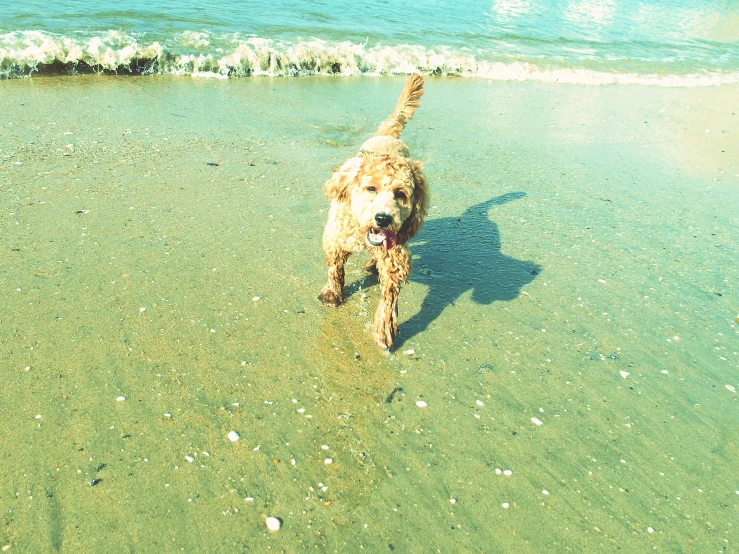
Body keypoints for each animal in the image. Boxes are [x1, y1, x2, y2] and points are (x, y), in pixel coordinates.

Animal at [316, 74, 428, 348]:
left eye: (401, 195)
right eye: (371, 188)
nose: (383, 219)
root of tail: (388, 135)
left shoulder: (395, 254)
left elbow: (389, 294)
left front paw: (384, 328)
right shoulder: (335, 238)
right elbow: (335, 267)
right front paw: (332, 293)